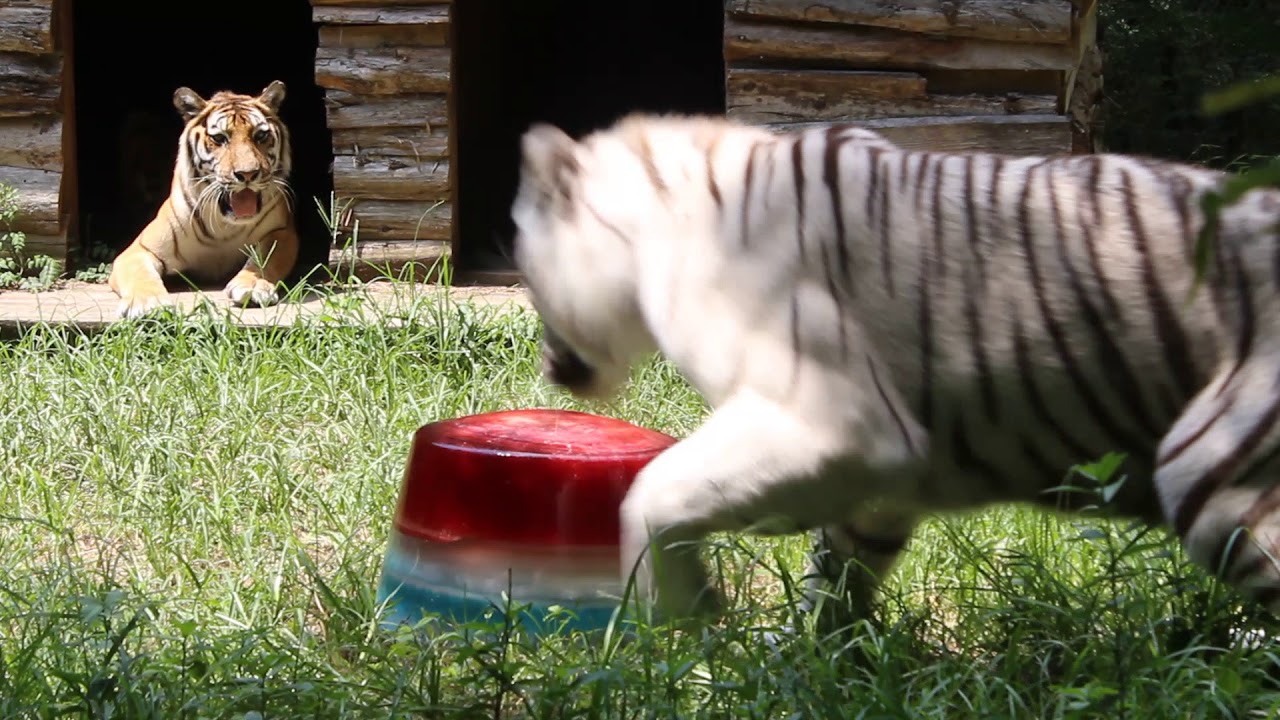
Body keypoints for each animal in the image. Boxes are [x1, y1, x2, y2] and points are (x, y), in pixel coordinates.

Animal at [108, 81, 299, 319]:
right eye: (219, 138)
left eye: (260, 136)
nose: (247, 174)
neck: (225, 226)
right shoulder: (138, 250)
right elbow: (140, 274)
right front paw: (147, 302)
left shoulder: (282, 232)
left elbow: (266, 258)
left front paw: (253, 286)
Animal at [509, 112, 1280, 636]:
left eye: (524, 262)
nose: (548, 366)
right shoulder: (877, 483)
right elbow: (833, 579)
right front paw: (797, 663)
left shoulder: (835, 424)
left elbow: (653, 492)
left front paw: (680, 624)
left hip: (1209, 467)